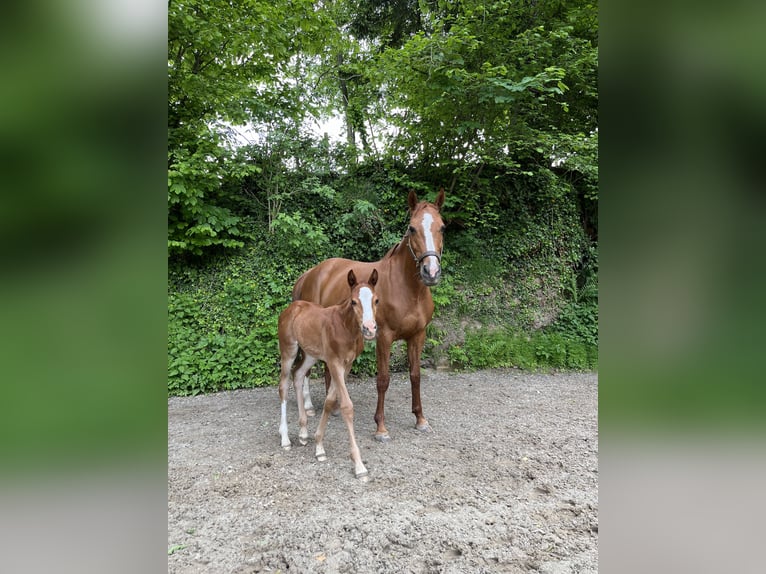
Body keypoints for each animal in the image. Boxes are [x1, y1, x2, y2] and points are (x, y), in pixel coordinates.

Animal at [278, 268, 379, 480]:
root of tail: (291, 308)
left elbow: (330, 401)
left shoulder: (346, 365)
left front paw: (319, 446)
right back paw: (285, 438)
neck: (345, 326)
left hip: (310, 354)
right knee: (283, 385)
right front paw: (359, 465)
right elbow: (346, 406)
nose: (369, 328)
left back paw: (303, 432)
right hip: (288, 350)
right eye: (353, 302)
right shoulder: (334, 363)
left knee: (298, 374)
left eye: (376, 300)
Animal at [292, 188, 446, 442]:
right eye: (412, 228)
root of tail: (311, 273)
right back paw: (311, 407)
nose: (430, 272)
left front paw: (420, 420)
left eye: (442, 227)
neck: (406, 288)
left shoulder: (418, 335)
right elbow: (383, 380)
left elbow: (415, 375)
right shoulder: (384, 337)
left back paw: (333, 405)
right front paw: (381, 428)